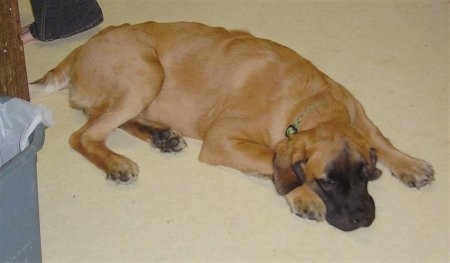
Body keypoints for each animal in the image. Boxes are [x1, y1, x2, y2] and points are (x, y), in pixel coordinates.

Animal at [33, 21, 434, 232]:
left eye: (365, 174)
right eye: (327, 181)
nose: (364, 218)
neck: (311, 103)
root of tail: (81, 47)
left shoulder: (357, 112)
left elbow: (380, 139)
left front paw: (409, 164)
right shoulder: (222, 141)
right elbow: (273, 161)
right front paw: (301, 193)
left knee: (107, 121)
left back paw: (162, 135)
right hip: (146, 71)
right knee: (83, 135)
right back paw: (117, 162)